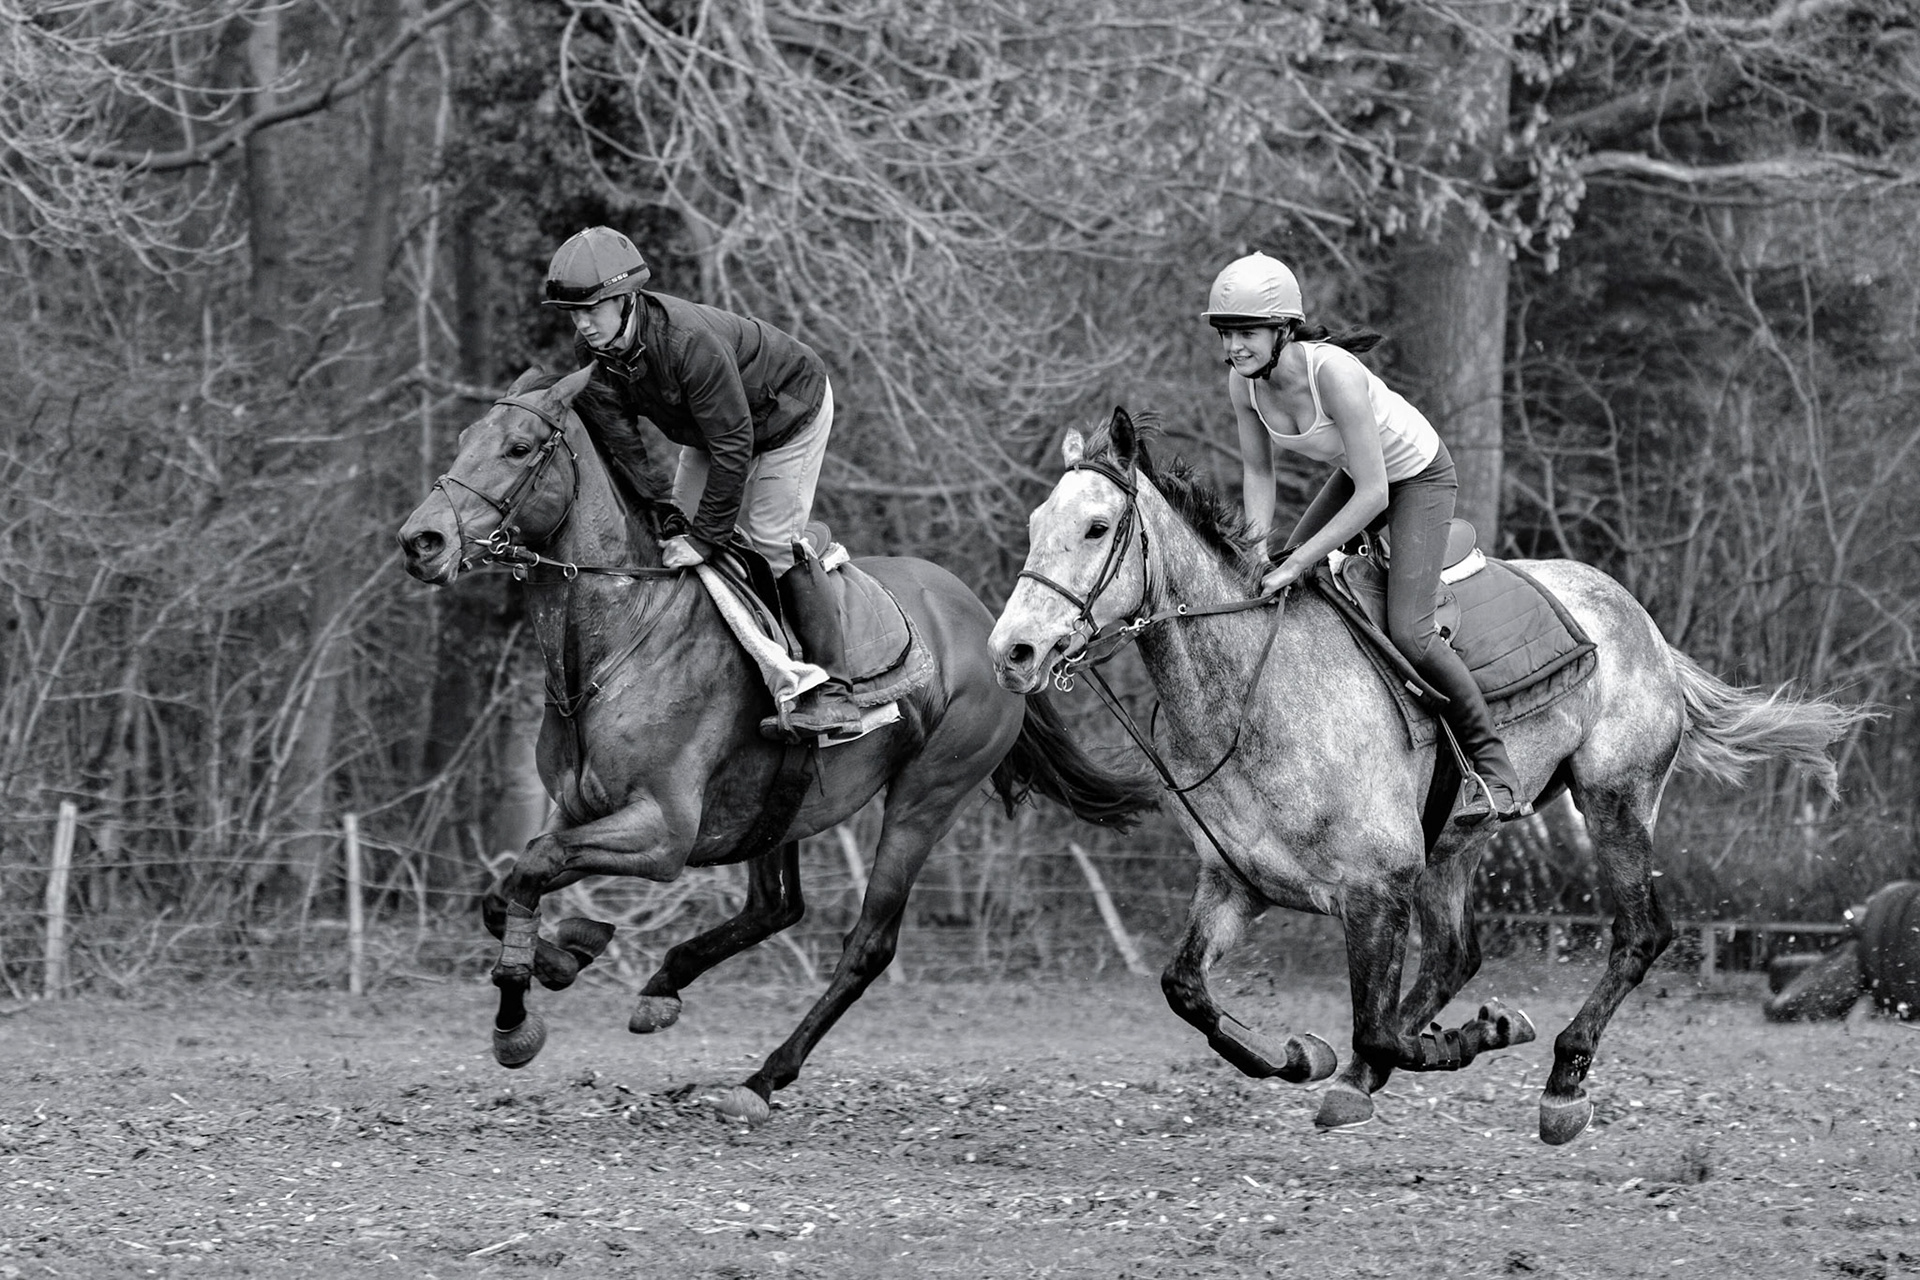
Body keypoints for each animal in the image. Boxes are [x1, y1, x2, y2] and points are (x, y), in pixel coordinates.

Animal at [396, 367, 1159, 1121]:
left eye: (519, 447)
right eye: (463, 438)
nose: (420, 540)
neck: (620, 639)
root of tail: (995, 627)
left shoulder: (663, 832)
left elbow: (533, 864)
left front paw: (517, 1020)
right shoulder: (580, 808)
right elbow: (506, 887)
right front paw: (565, 954)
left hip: (927, 796)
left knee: (868, 942)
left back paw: (762, 1077)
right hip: (776, 806)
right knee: (776, 907)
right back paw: (665, 986)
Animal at [986, 407, 1867, 1144]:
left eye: (1097, 526)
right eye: (1036, 524)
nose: (1013, 652)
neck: (1255, 689)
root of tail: (1640, 622)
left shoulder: (1378, 890)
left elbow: (1374, 1026)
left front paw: (1482, 1035)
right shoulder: (1236, 885)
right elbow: (1186, 989)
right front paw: (1306, 1059)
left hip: (1613, 800)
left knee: (1638, 933)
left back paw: (1563, 1080)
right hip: (1457, 842)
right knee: (1455, 954)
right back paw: (1370, 1077)